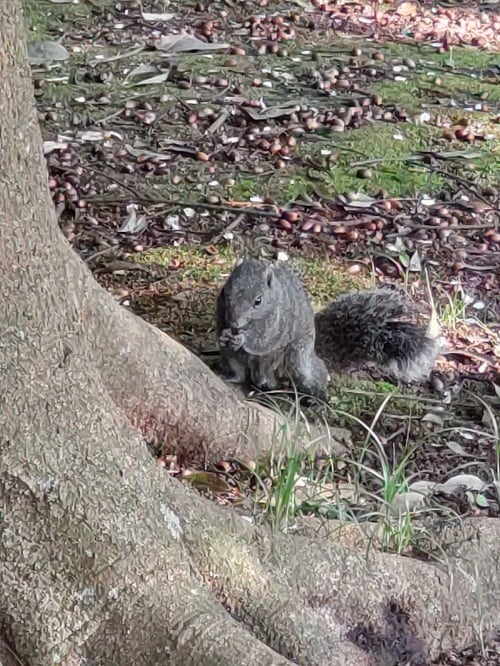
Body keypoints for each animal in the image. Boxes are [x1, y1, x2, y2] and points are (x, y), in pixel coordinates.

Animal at [217, 258, 444, 394]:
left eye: (258, 300)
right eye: (225, 293)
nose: (234, 323)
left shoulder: (278, 324)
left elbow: (262, 341)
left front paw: (242, 338)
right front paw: (225, 335)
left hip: (299, 361)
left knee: (312, 377)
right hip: (233, 360)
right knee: (240, 372)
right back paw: (231, 377)